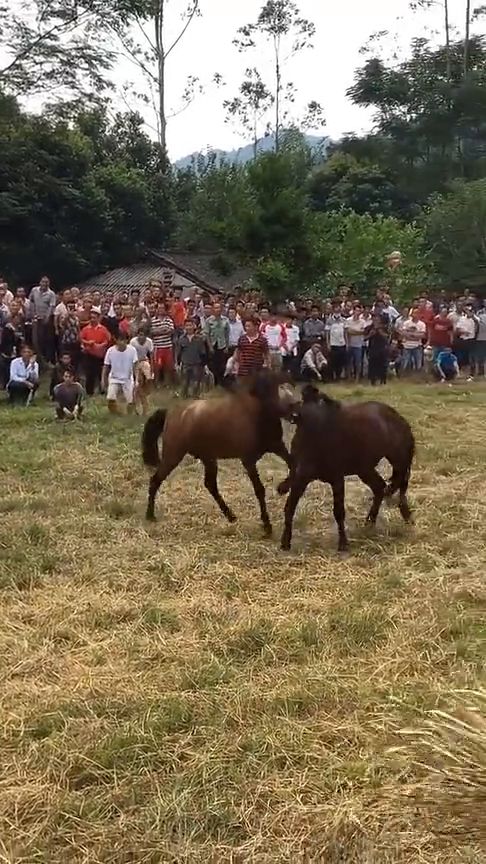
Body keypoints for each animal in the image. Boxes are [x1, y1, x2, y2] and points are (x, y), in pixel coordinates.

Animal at [142, 373, 297, 536]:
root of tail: (171, 414)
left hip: (207, 457)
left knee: (210, 484)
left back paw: (231, 516)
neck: (256, 413)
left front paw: (283, 488)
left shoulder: (278, 446)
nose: (295, 408)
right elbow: (259, 489)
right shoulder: (248, 460)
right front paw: (267, 526)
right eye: (277, 387)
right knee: (155, 480)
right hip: (173, 455)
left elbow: (293, 464)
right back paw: (150, 515)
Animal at [278, 384, 415, 552]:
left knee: (399, 488)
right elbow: (289, 508)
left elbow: (339, 512)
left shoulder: (336, 478)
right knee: (380, 488)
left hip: (399, 463)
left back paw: (404, 517)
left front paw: (343, 543)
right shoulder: (301, 477)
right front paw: (285, 542)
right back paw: (369, 522)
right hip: (365, 469)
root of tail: (400, 420)